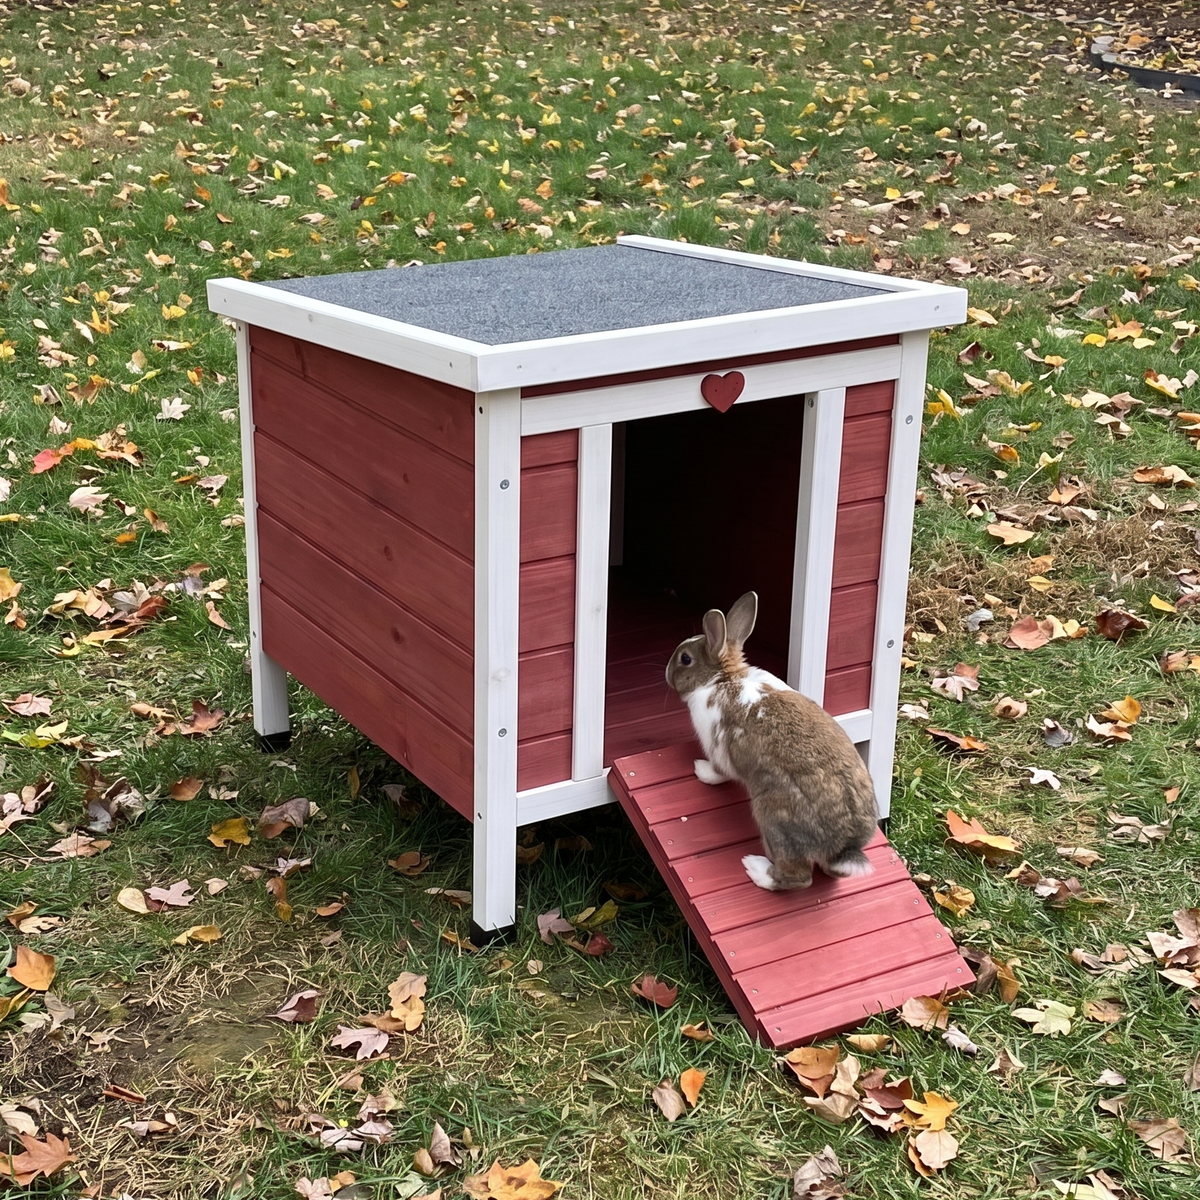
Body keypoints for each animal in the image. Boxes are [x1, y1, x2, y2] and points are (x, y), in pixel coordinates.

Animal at [665, 591, 878, 890]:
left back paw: (757, 870)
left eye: (685, 659)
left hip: (773, 818)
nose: (666, 673)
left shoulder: (718, 747)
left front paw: (701, 770)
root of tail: (844, 846)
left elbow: (719, 771)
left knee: (800, 878)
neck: (722, 679)